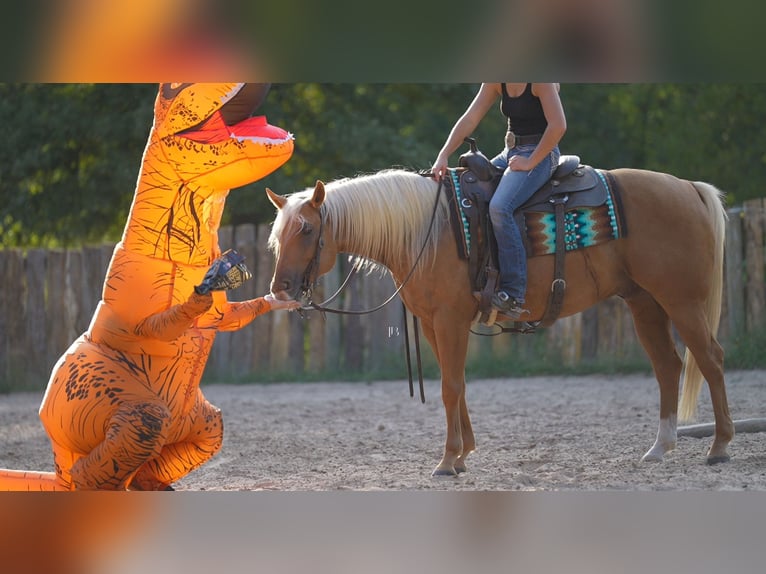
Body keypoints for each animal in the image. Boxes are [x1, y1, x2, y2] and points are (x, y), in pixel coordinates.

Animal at [265, 165, 733, 477]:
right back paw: (661, 447)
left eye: (307, 230)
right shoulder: (433, 324)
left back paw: (719, 446)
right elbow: (456, 383)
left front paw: (448, 460)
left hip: (682, 301)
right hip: (645, 302)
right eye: (278, 234)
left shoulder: (450, 320)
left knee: (710, 359)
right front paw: (464, 453)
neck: (428, 232)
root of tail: (689, 187)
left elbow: (450, 387)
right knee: (668, 366)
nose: (281, 288)